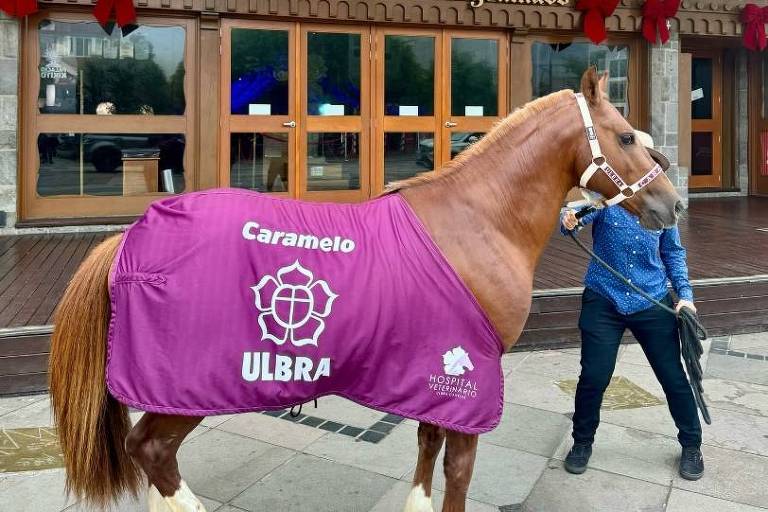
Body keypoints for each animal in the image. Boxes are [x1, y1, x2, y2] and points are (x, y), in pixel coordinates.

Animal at [49, 69, 684, 512]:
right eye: (626, 136)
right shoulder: (471, 379)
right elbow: (457, 469)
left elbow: (426, 448)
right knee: (152, 452)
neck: (478, 219)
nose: (672, 204)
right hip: (189, 388)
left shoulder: (437, 374)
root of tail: (131, 238)